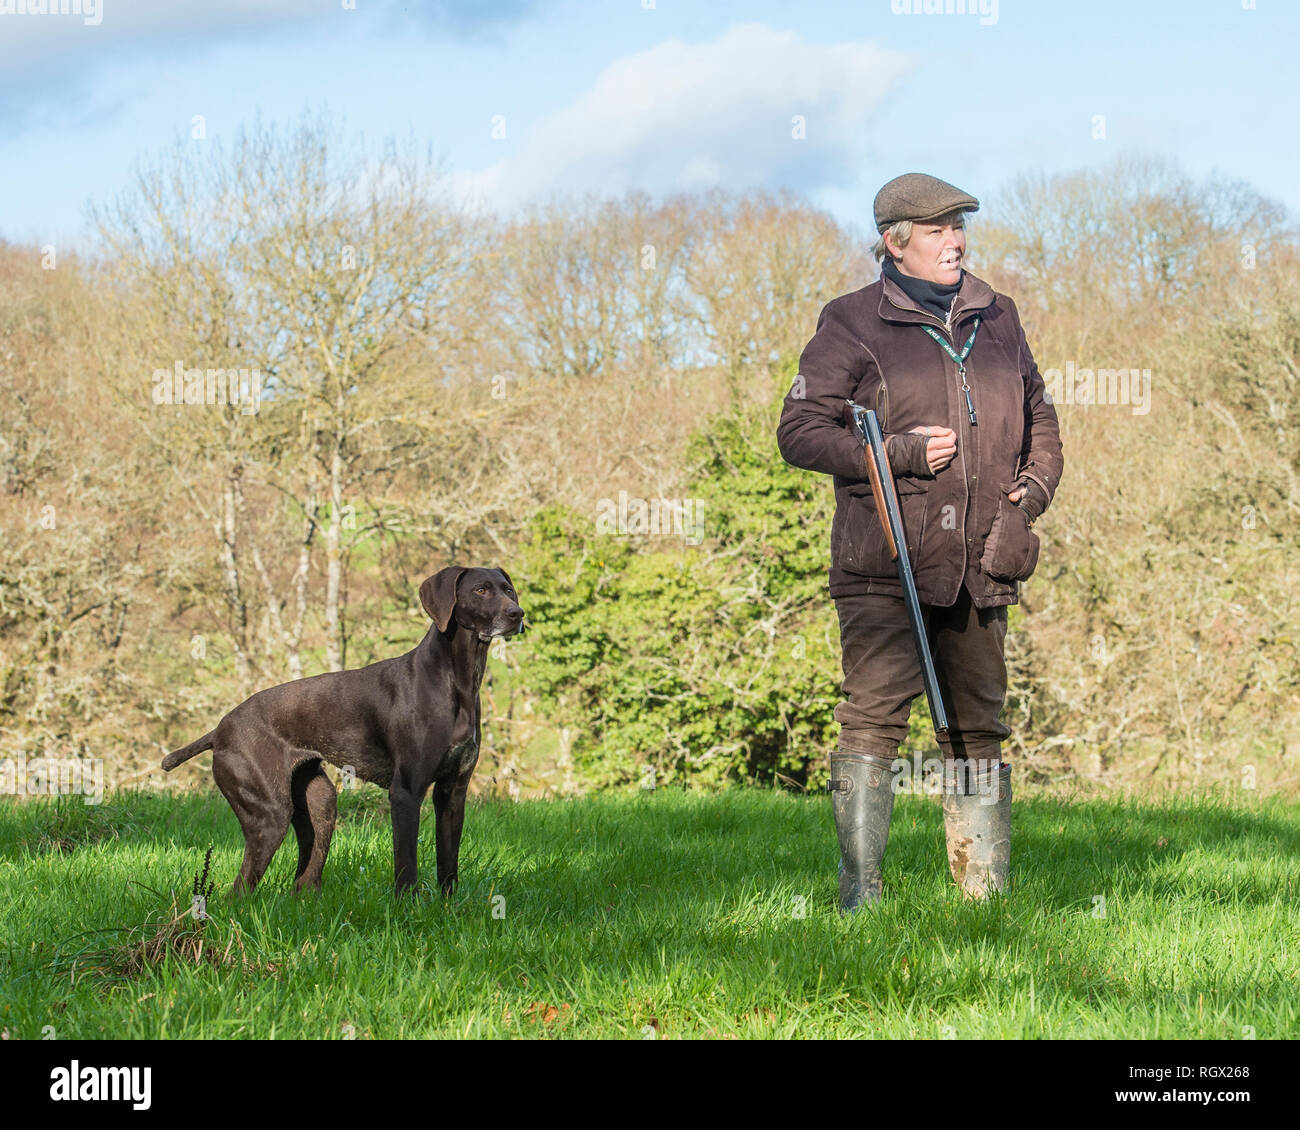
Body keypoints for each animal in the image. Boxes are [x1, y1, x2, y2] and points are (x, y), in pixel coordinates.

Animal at [162, 569, 522, 894]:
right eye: (480, 590)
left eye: (508, 589)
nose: (517, 614)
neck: (456, 680)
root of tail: (218, 730)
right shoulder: (406, 791)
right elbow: (406, 866)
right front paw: (408, 908)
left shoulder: (453, 791)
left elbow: (449, 862)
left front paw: (448, 907)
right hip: (269, 815)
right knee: (239, 890)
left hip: (319, 806)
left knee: (304, 878)